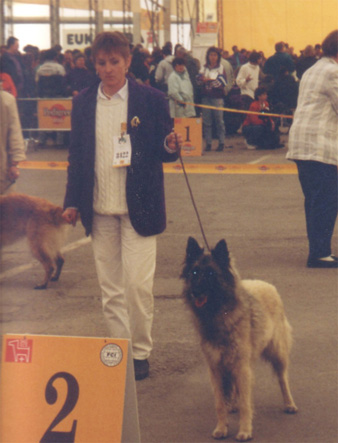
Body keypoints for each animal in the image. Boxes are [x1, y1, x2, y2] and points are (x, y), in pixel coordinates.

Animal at [181, 239, 298, 443]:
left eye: (211, 273)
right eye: (194, 272)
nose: (195, 292)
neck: (219, 314)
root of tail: (267, 284)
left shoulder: (242, 367)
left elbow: (245, 403)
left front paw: (244, 431)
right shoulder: (216, 368)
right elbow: (220, 403)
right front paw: (222, 428)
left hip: (277, 353)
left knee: (283, 378)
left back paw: (289, 404)